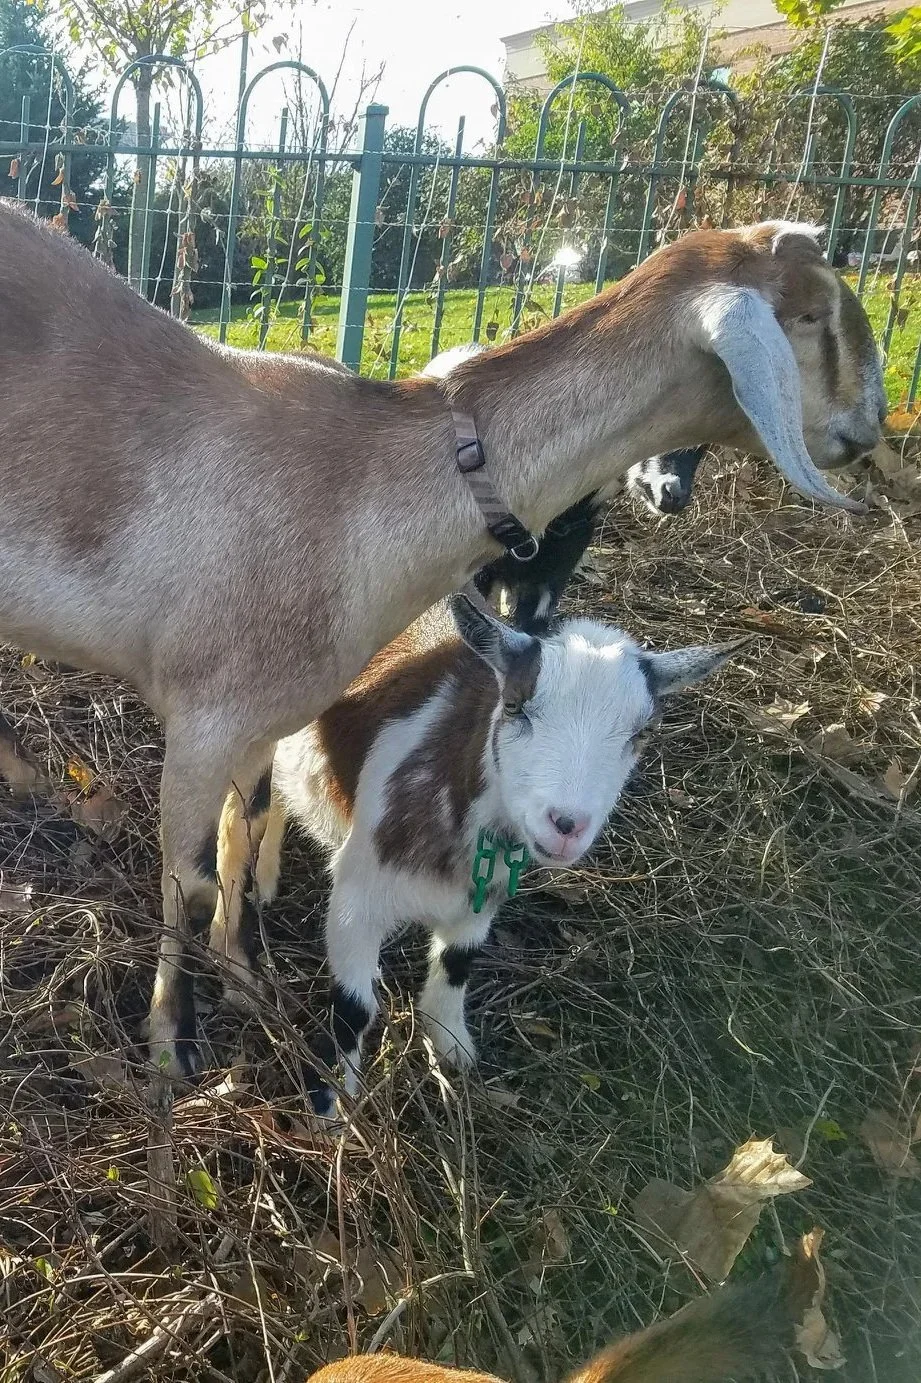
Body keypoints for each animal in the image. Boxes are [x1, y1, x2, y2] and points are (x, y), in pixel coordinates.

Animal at [223, 593, 745, 1115]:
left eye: (641, 733)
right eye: (514, 705)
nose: (566, 825)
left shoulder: (485, 893)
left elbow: (457, 963)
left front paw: (452, 1048)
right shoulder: (358, 894)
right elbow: (353, 1007)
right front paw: (332, 1106)